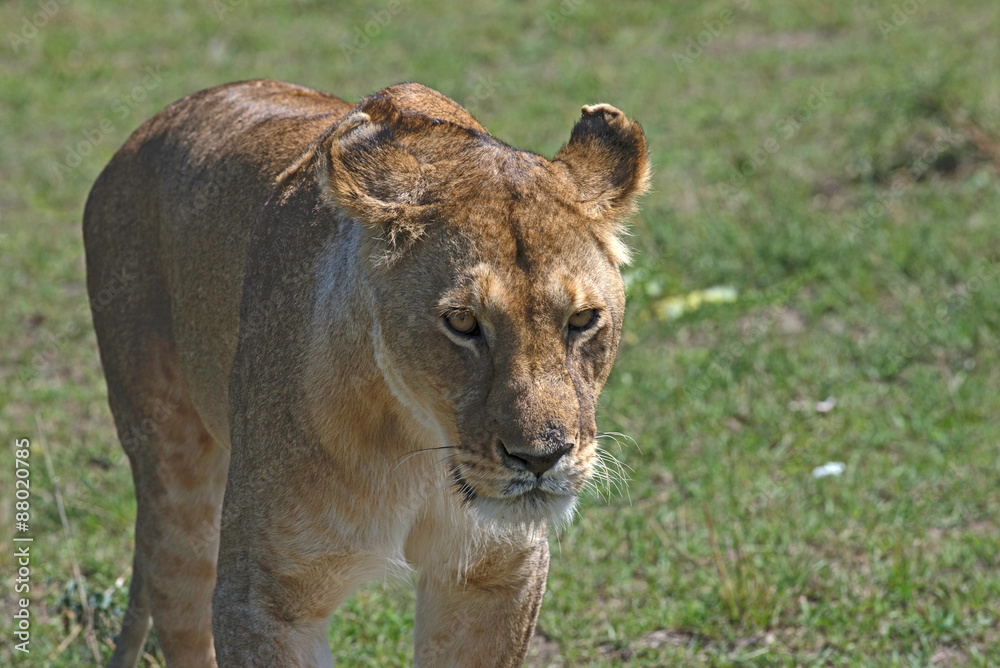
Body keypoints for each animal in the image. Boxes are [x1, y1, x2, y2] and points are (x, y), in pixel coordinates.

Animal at [84, 79, 648, 667]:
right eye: (462, 322)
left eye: (582, 320)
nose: (540, 459)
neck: (421, 446)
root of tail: (151, 127)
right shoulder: (263, 599)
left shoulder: (495, 577)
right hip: (173, 473)